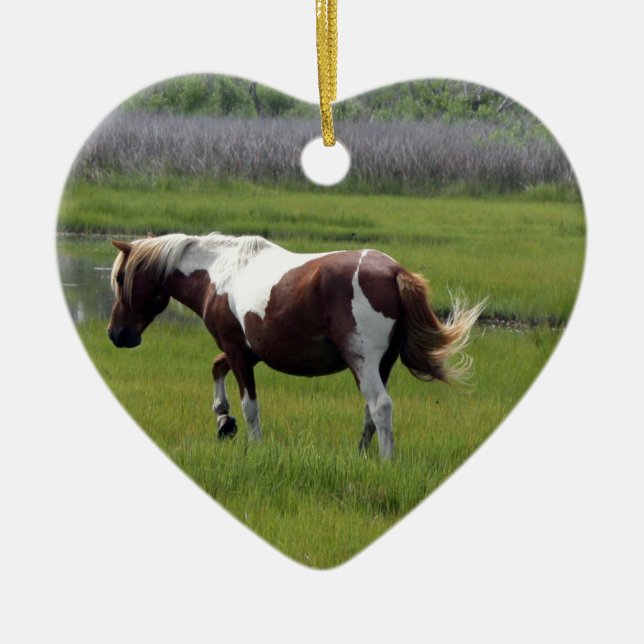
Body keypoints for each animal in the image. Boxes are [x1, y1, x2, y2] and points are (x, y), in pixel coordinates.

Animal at [107, 232, 485, 459]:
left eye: (122, 278)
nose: (116, 334)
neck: (220, 272)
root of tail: (394, 272)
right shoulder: (245, 352)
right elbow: (216, 369)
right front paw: (223, 419)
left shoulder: (238, 351)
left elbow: (250, 406)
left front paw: (252, 442)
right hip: (382, 364)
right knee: (370, 412)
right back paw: (361, 455)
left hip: (362, 361)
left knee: (380, 406)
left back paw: (386, 461)